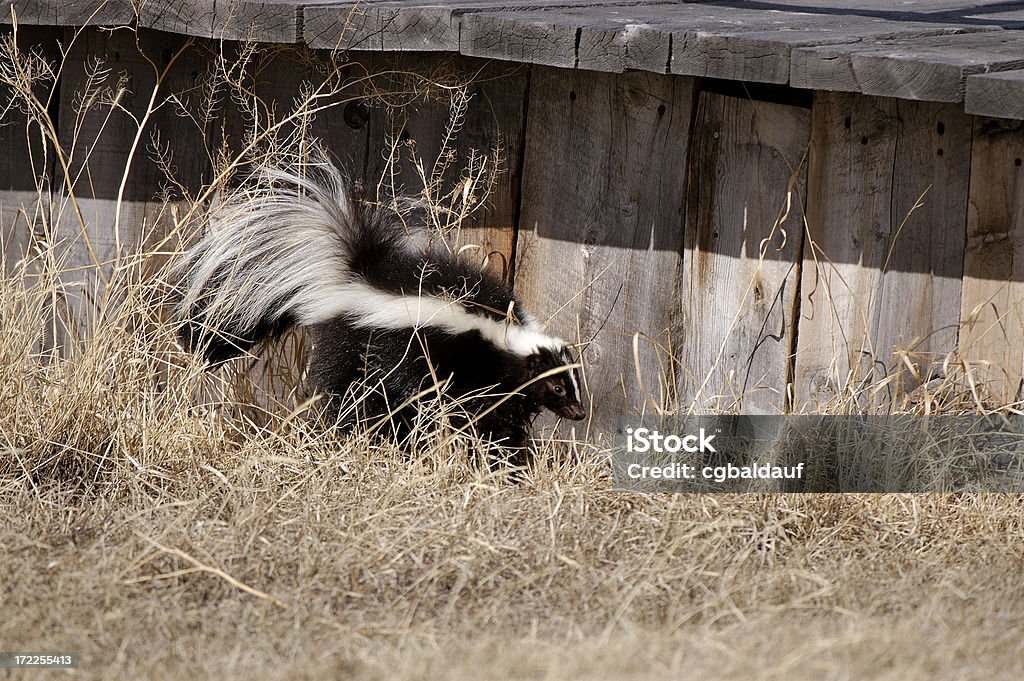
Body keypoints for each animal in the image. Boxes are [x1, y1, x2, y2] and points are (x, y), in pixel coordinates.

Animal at [174, 151, 585, 454]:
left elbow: (505, 414)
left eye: (574, 382)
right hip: (357, 346)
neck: (502, 331)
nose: (579, 413)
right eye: (558, 388)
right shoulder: (460, 363)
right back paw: (360, 433)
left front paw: (512, 452)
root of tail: (352, 276)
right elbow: (471, 409)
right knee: (355, 393)